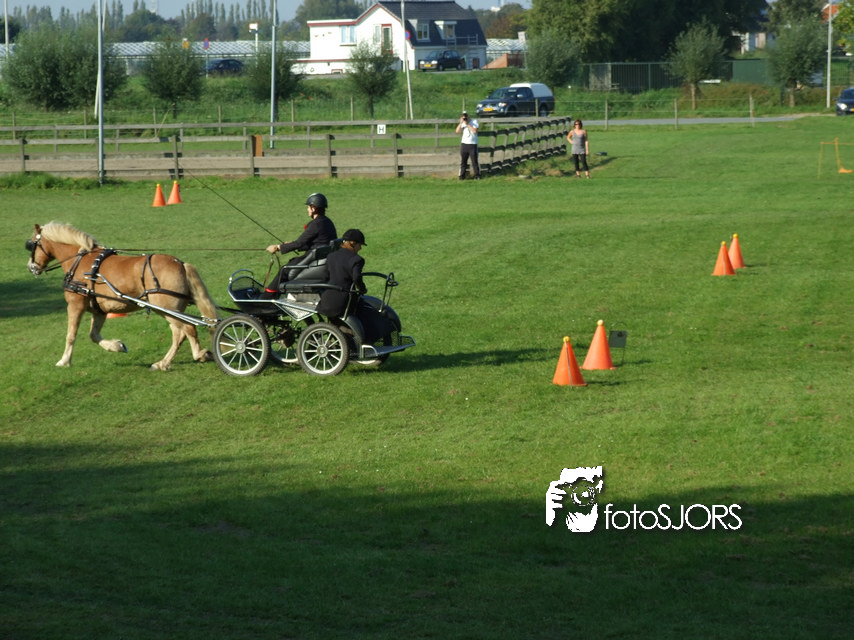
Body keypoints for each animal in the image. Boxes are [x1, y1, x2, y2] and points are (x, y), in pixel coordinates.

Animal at [26, 222, 219, 371]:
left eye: (31, 245)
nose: (31, 267)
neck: (81, 262)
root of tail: (180, 264)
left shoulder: (75, 305)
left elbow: (71, 335)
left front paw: (64, 361)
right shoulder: (99, 311)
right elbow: (93, 335)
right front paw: (117, 346)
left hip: (166, 309)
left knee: (187, 329)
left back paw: (194, 356)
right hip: (171, 310)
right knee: (179, 333)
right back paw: (165, 362)